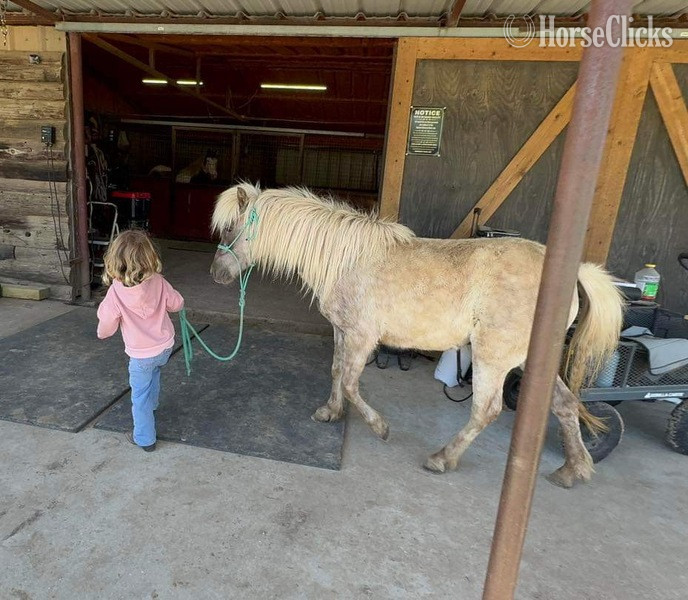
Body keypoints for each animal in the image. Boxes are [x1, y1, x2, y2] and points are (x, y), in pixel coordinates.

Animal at [209, 183, 624, 488]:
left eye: (230, 228)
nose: (216, 274)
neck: (345, 259)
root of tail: (573, 273)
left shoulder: (361, 337)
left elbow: (351, 383)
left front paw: (380, 428)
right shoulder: (342, 332)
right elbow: (336, 374)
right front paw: (330, 412)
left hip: (493, 357)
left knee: (486, 410)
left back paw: (443, 458)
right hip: (530, 359)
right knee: (566, 405)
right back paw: (573, 469)